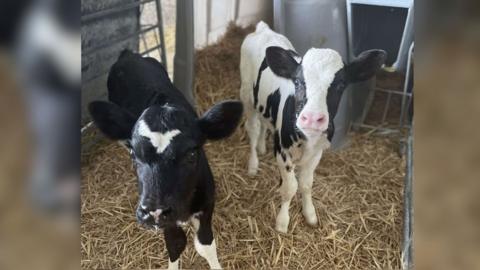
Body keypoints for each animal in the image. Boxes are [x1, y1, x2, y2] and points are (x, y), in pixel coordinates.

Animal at [89, 50, 242, 268]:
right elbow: (176, 243)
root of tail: (129, 54)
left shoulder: (207, 202)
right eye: (134, 154)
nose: (155, 212)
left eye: (192, 154)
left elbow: (205, 244)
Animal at [240, 21, 386, 232]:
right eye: (298, 81)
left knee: (265, 123)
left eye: (341, 84)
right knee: (252, 128)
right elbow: (290, 187)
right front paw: (282, 222)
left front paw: (310, 215)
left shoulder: (317, 153)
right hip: (246, 95)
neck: (307, 139)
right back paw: (253, 164)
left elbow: (306, 184)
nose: (312, 118)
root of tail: (263, 29)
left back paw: (261, 146)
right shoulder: (283, 151)